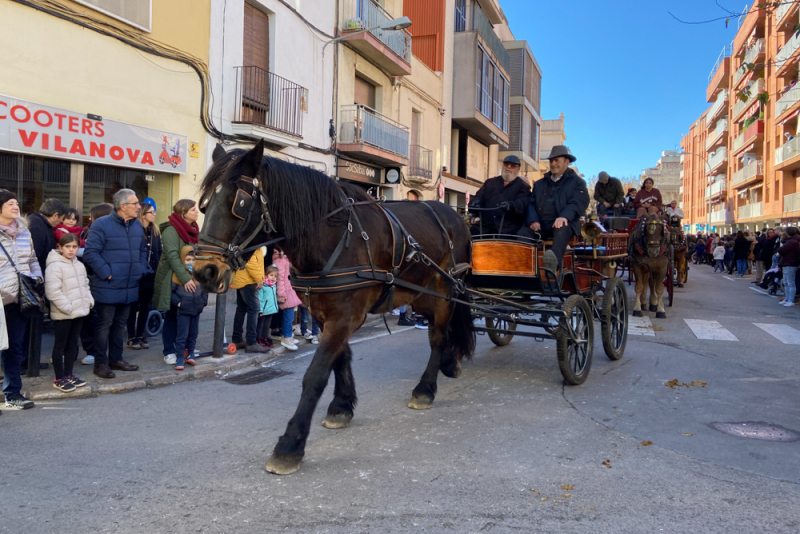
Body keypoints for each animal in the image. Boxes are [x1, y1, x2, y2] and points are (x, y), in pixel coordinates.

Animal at [192, 142, 476, 478]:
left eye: (239, 202)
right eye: (203, 204)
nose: (204, 272)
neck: (332, 239)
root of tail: (455, 216)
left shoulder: (344, 317)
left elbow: (315, 375)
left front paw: (290, 444)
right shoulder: (324, 314)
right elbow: (341, 358)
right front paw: (342, 406)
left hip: (446, 290)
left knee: (438, 335)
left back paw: (426, 388)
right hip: (420, 295)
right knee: (438, 330)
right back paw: (449, 362)